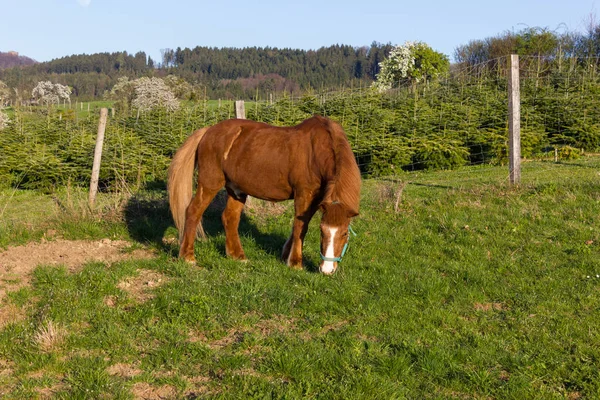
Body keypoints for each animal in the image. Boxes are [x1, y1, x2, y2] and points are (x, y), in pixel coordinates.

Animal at [166, 114, 358, 274]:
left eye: (344, 234)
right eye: (322, 231)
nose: (326, 269)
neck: (316, 151)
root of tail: (208, 131)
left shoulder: (316, 198)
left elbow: (298, 226)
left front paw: (286, 256)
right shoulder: (304, 194)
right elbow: (300, 228)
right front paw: (295, 263)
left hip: (237, 190)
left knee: (230, 217)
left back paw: (237, 256)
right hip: (210, 183)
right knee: (193, 211)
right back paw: (188, 256)